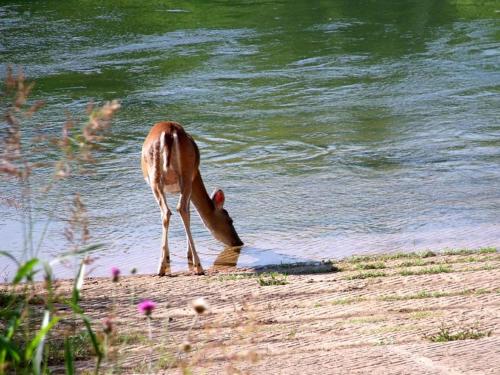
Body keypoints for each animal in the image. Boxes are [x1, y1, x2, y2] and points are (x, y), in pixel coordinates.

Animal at [141, 122, 244, 276]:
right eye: (230, 220)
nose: (239, 242)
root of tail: (169, 133)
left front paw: (172, 256)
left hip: (166, 177)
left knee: (172, 210)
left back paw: (169, 267)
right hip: (181, 175)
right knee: (176, 210)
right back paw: (191, 266)